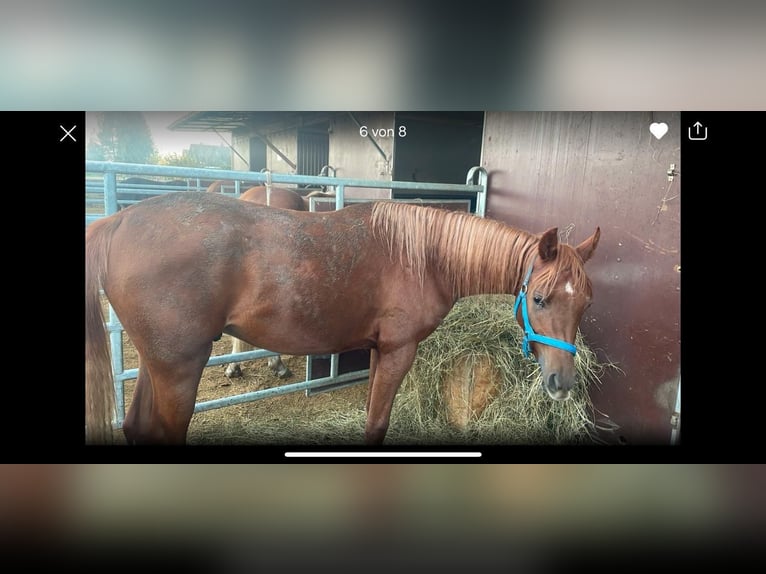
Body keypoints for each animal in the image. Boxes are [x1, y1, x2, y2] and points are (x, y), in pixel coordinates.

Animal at [84, 194, 600, 446]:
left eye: (586, 304)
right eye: (539, 298)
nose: (562, 383)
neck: (423, 257)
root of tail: (117, 222)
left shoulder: (378, 351)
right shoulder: (398, 351)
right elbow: (376, 425)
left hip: (159, 365)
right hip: (179, 369)